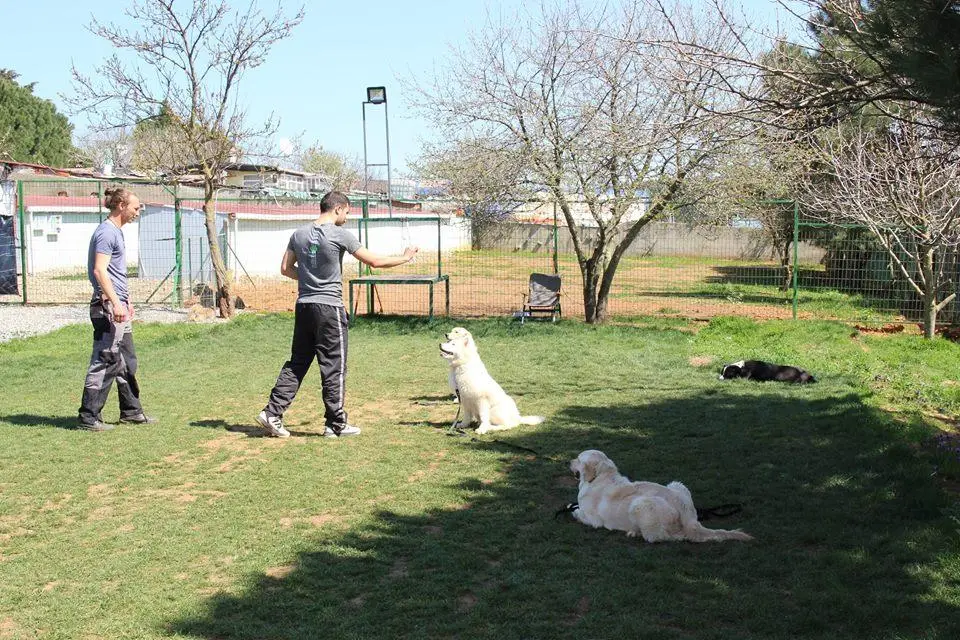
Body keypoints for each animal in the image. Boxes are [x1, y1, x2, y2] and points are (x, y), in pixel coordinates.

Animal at [568, 450, 752, 544]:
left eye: (578, 459)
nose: (568, 462)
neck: (600, 477)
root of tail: (690, 519)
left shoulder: (594, 520)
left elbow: (578, 513)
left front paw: (573, 511)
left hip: (640, 504)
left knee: (665, 537)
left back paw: (635, 533)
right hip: (677, 484)